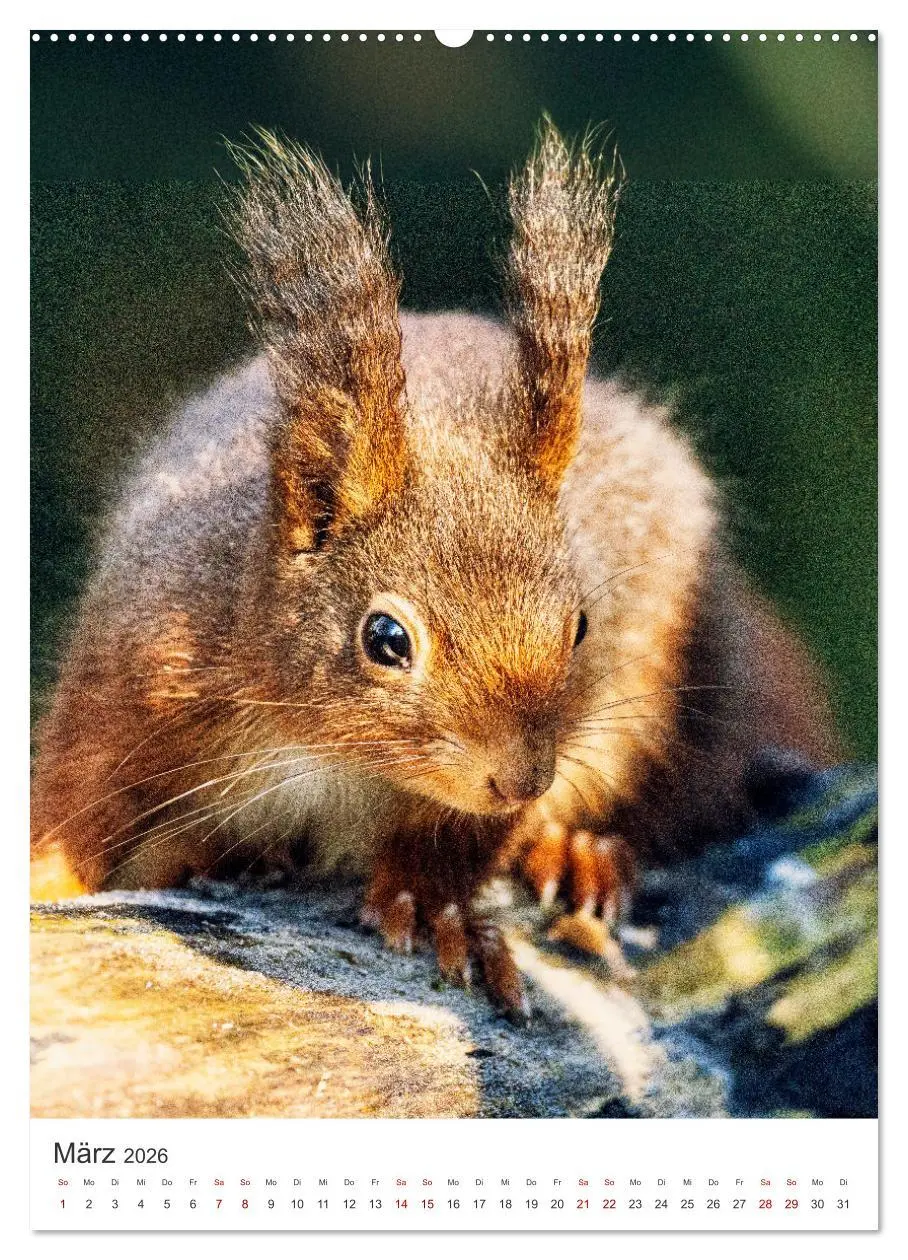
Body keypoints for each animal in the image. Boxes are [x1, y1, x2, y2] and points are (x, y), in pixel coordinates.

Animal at [30, 123, 842, 1016]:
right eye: (386, 640)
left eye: (580, 627)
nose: (522, 779)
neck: (330, 750)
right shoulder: (144, 672)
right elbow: (76, 794)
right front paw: (43, 872)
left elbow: (458, 839)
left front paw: (436, 907)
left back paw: (577, 850)